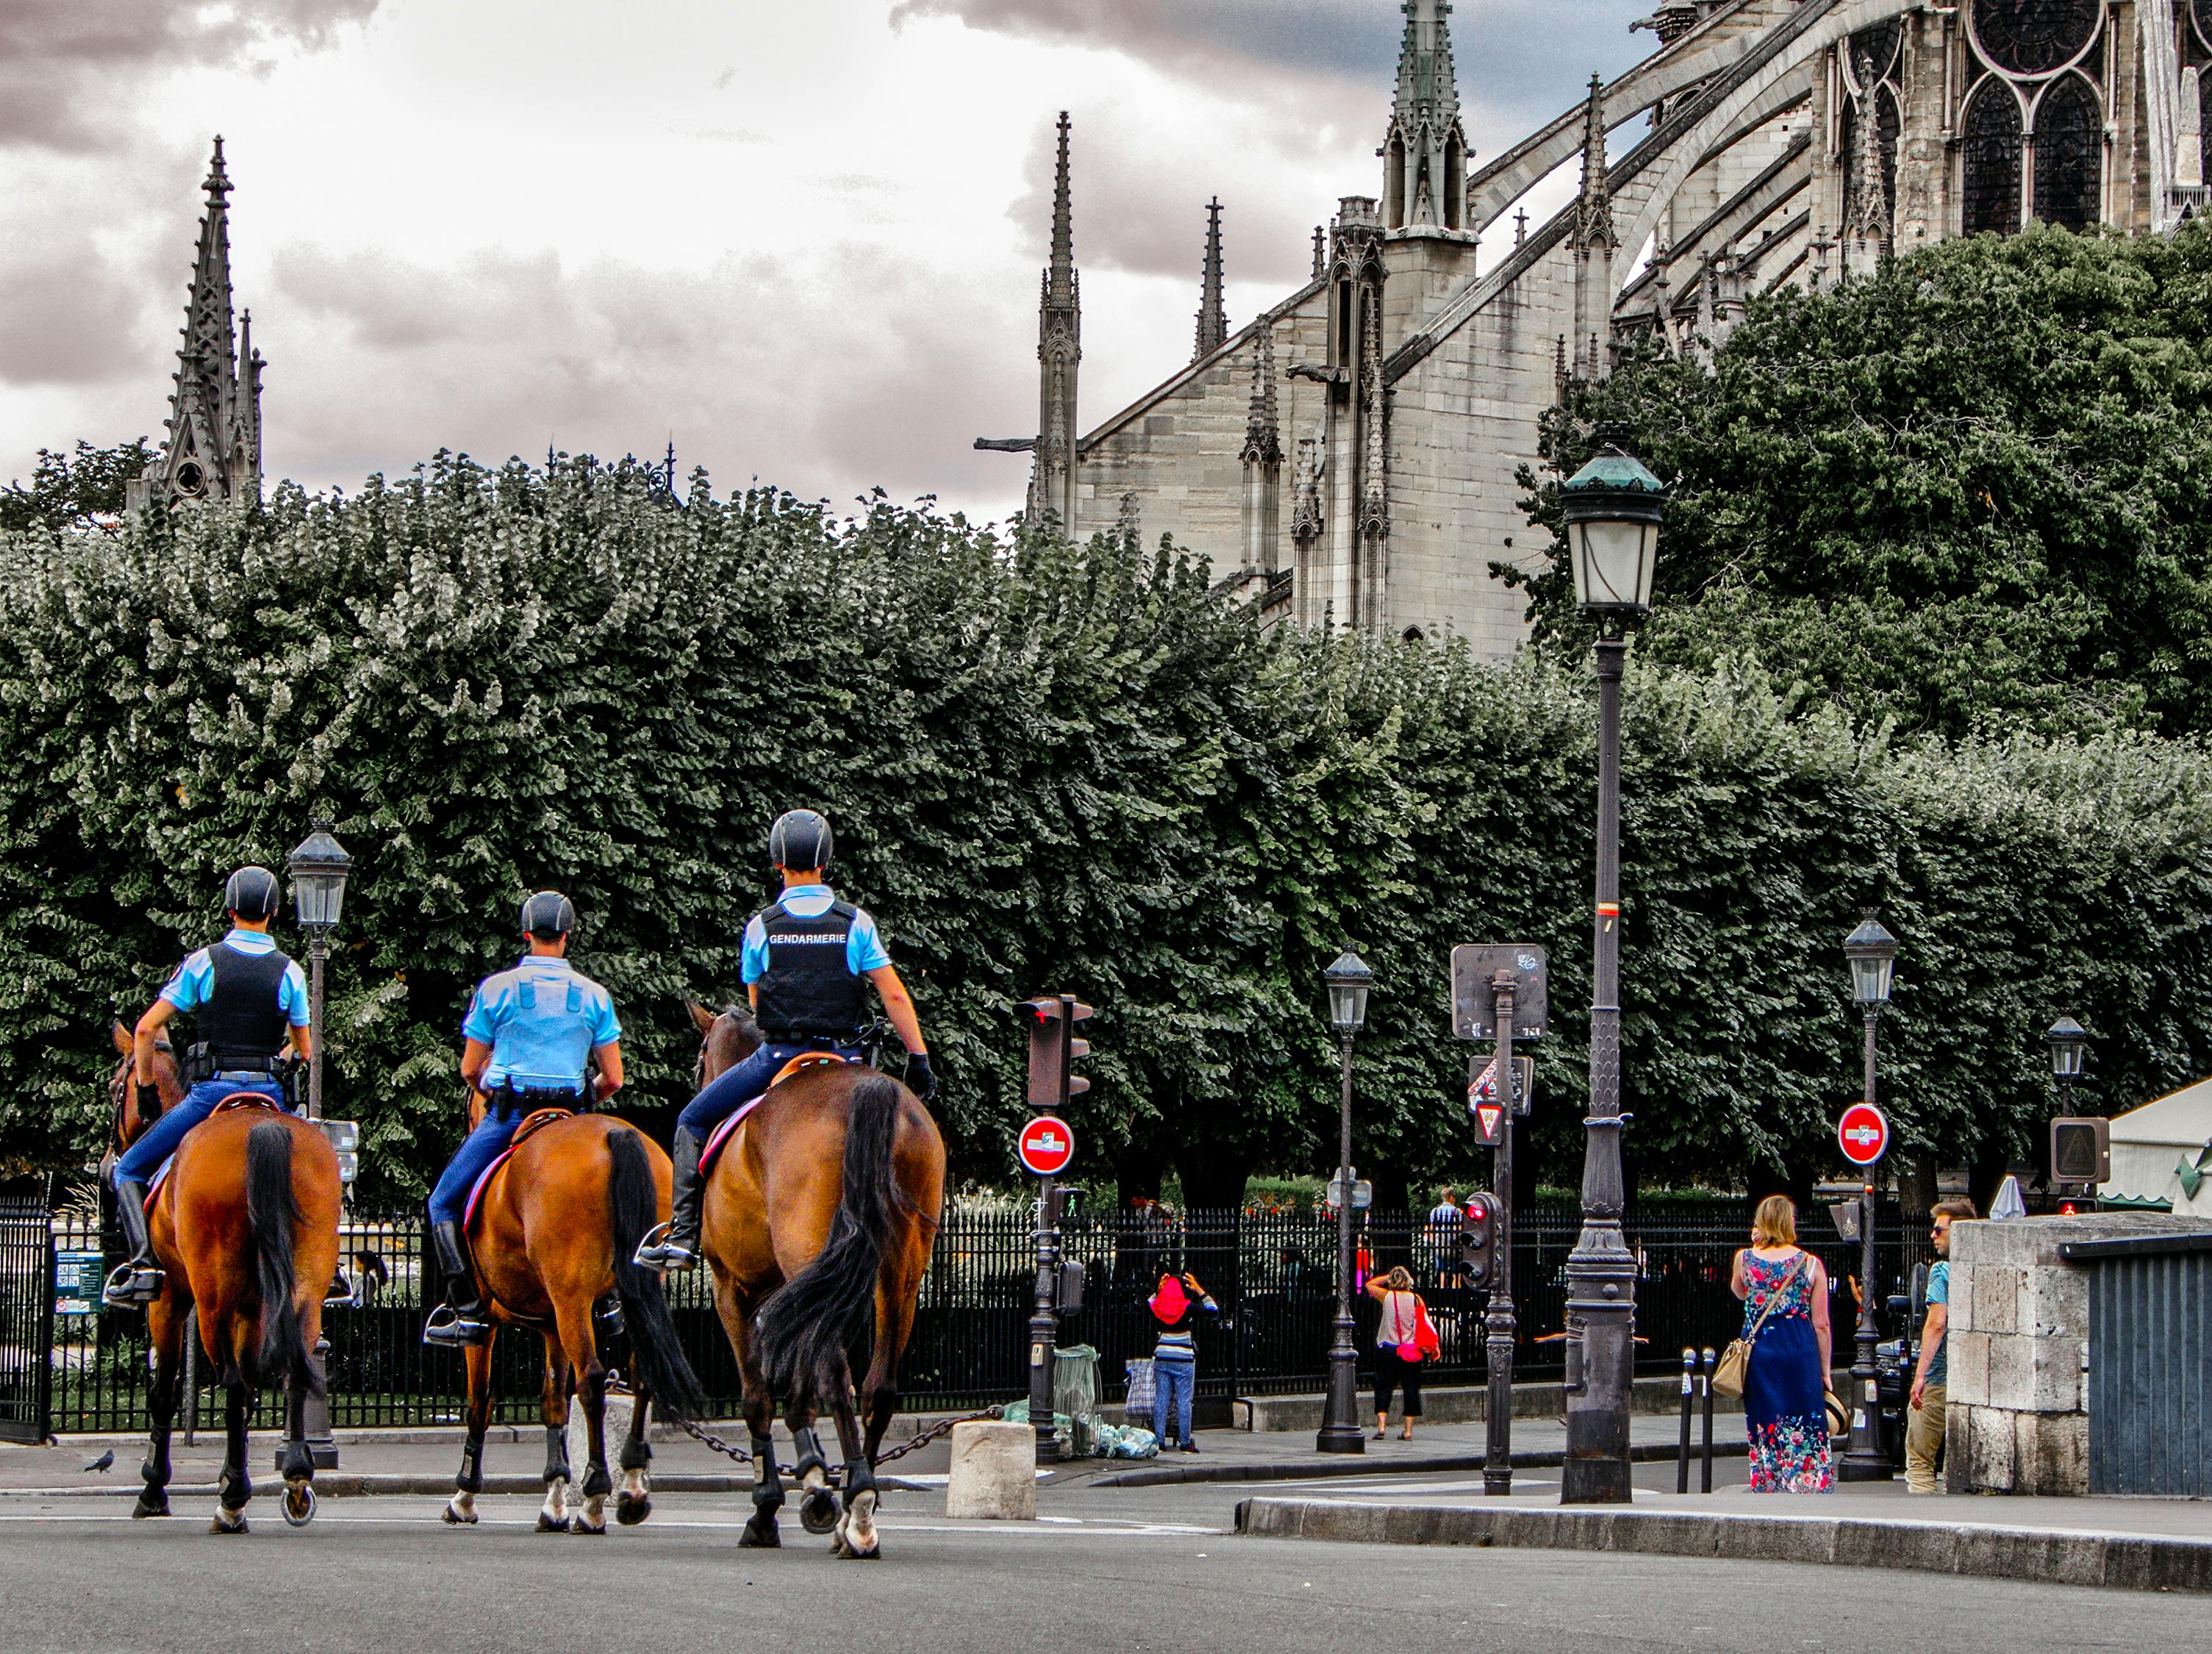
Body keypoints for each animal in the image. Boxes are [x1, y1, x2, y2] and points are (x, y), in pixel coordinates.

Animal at [132, 1092, 340, 1530]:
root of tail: (262, 1126)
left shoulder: (169, 1298)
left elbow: (164, 1393)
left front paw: (154, 1488)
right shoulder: (251, 1311)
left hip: (213, 1302)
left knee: (233, 1383)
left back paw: (231, 1502)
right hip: (304, 1286)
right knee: (294, 1371)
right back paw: (296, 1476)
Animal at [442, 1096, 698, 1539]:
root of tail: (614, 1133)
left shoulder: (487, 1326)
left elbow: (480, 1403)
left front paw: (465, 1495)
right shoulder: (551, 1327)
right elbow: (553, 1404)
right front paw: (555, 1497)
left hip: (571, 1296)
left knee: (592, 1379)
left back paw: (595, 1497)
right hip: (632, 1285)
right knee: (641, 1371)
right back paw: (632, 1485)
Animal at [681, 999, 942, 1556]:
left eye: (701, 1055)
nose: (697, 1079)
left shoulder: (732, 1288)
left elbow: (757, 1394)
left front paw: (769, 1505)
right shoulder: (792, 1290)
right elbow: (797, 1385)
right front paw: (815, 1478)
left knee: (836, 1373)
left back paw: (857, 1507)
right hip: (898, 1272)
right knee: (878, 1385)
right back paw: (856, 1509)